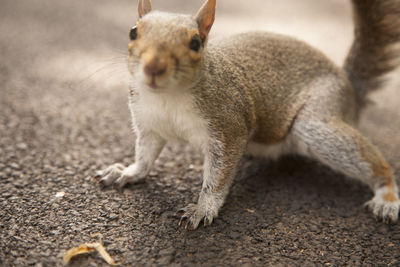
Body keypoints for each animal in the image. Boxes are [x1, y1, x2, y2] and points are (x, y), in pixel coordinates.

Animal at [97, 0, 400, 230]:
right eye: (133, 32)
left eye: (195, 43)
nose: (153, 68)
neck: (167, 98)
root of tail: (349, 88)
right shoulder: (149, 125)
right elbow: (145, 156)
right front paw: (127, 172)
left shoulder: (228, 127)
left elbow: (218, 177)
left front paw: (202, 209)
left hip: (316, 122)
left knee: (373, 163)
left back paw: (387, 197)